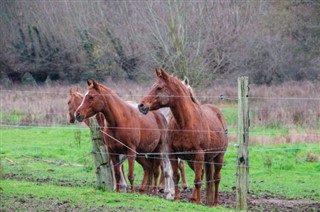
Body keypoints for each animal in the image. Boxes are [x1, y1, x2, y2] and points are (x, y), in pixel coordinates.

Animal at [138, 68, 228, 205]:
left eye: (159, 87)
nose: (142, 106)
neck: (184, 123)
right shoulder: (173, 154)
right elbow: (175, 176)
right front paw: (176, 198)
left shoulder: (199, 154)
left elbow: (197, 180)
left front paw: (198, 202)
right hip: (194, 160)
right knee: (203, 174)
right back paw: (194, 198)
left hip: (218, 156)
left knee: (216, 178)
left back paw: (215, 202)